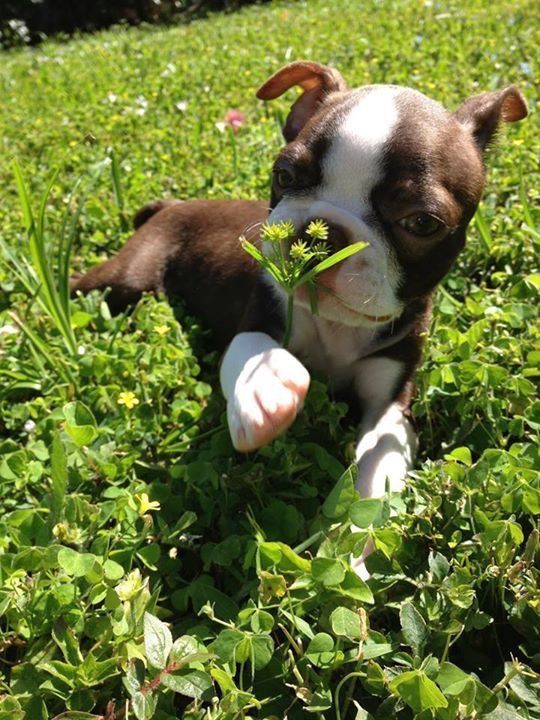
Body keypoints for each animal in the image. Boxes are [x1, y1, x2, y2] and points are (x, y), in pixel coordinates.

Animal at [73, 63, 528, 524]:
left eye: (421, 223)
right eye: (284, 176)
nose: (322, 234)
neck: (338, 325)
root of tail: (172, 205)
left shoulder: (392, 398)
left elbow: (380, 455)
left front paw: (359, 528)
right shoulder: (264, 308)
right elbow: (251, 346)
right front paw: (265, 385)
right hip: (127, 278)